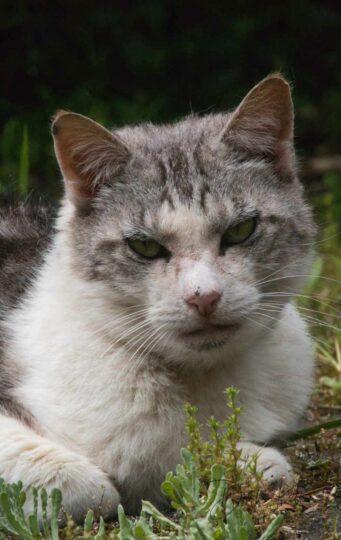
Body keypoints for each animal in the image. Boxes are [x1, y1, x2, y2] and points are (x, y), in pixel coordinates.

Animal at [0, 74, 314, 520]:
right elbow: (94, 490)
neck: (202, 377)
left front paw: (250, 461)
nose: (204, 297)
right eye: (145, 247)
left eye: (240, 230)